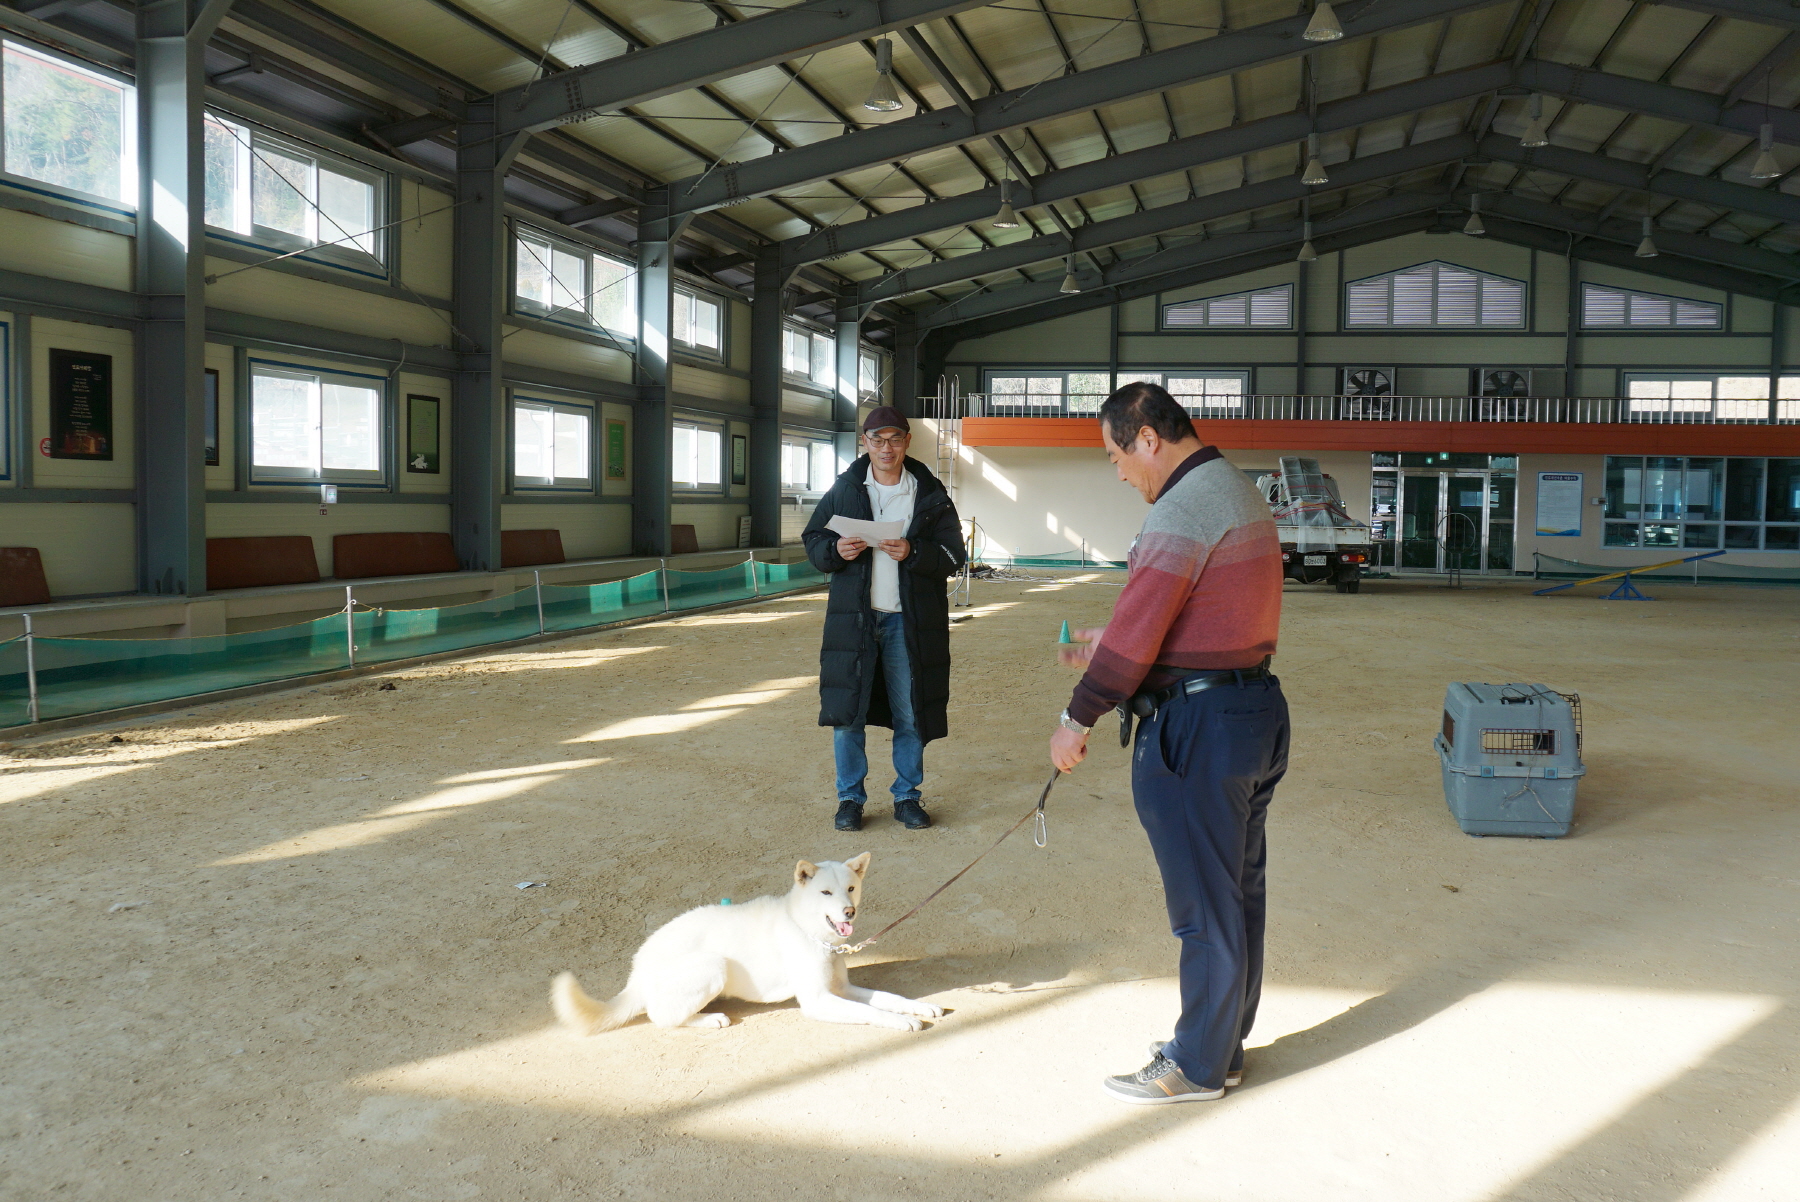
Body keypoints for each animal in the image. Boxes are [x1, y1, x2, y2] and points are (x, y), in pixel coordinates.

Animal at [547, 852, 943, 1036]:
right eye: (825, 893)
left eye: (850, 888)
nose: (849, 912)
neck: (809, 930)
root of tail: (638, 970)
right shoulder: (818, 1001)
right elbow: (871, 1012)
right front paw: (901, 1021)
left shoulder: (841, 989)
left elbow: (888, 998)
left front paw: (919, 1007)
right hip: (713, 965)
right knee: (661, 1017)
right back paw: (709, 1019)